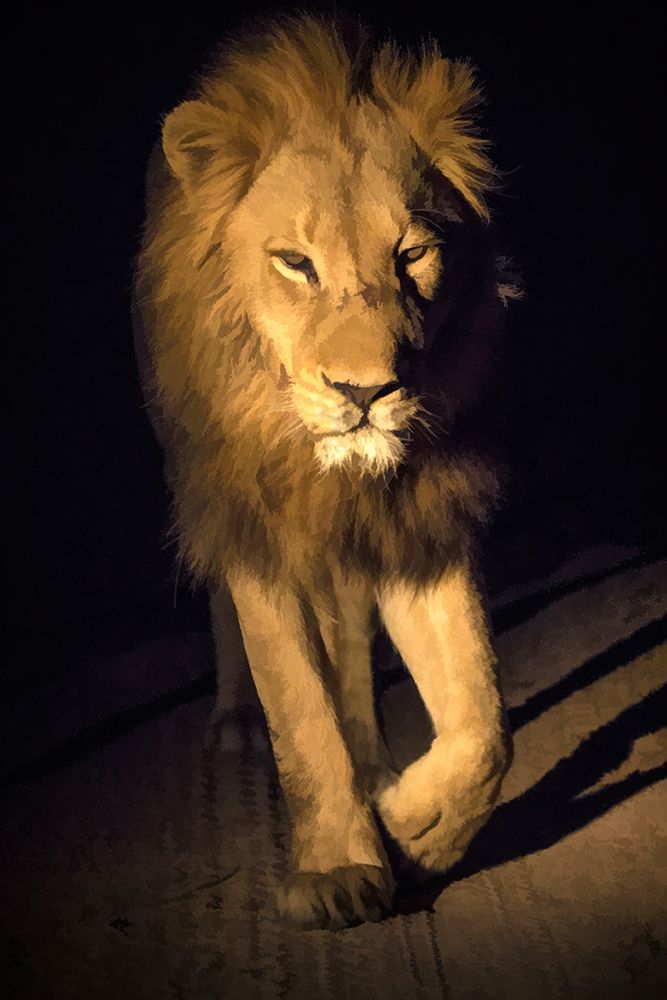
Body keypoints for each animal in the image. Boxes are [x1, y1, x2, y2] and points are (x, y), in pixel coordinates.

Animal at [133, 14, 519, 930]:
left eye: (412, 253)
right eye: (294, 263)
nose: (365, 392)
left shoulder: (419, 515)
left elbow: (485, 719)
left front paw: (416, 827)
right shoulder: (256, 520)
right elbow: (299, 713)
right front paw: (340, 867)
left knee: (348, 628)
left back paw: (376, 766)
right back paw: (239, 720)